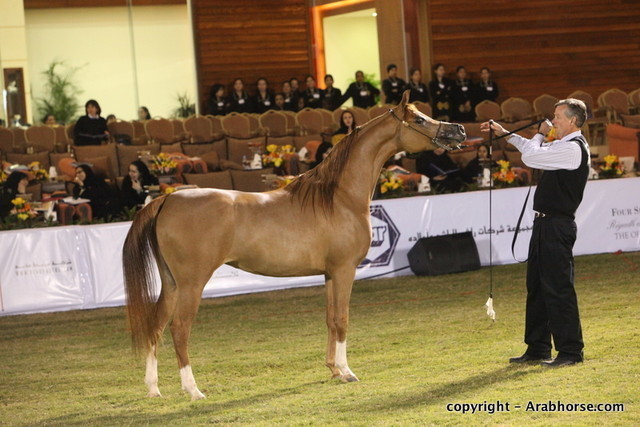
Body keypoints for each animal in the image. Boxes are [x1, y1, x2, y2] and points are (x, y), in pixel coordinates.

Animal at [123, 90, 466, 400]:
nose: (460, 130)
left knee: (156, 326)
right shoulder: (345, 270)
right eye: (419, 119)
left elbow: (330, 319)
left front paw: (334, 369)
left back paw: (153, 389)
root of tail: (167, 199)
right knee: (179, 329)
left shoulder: (329, 273)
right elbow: (342, 319)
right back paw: (193, 390)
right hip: (192, 284)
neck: (339, 198)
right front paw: (348, 372)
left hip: (171, 284)